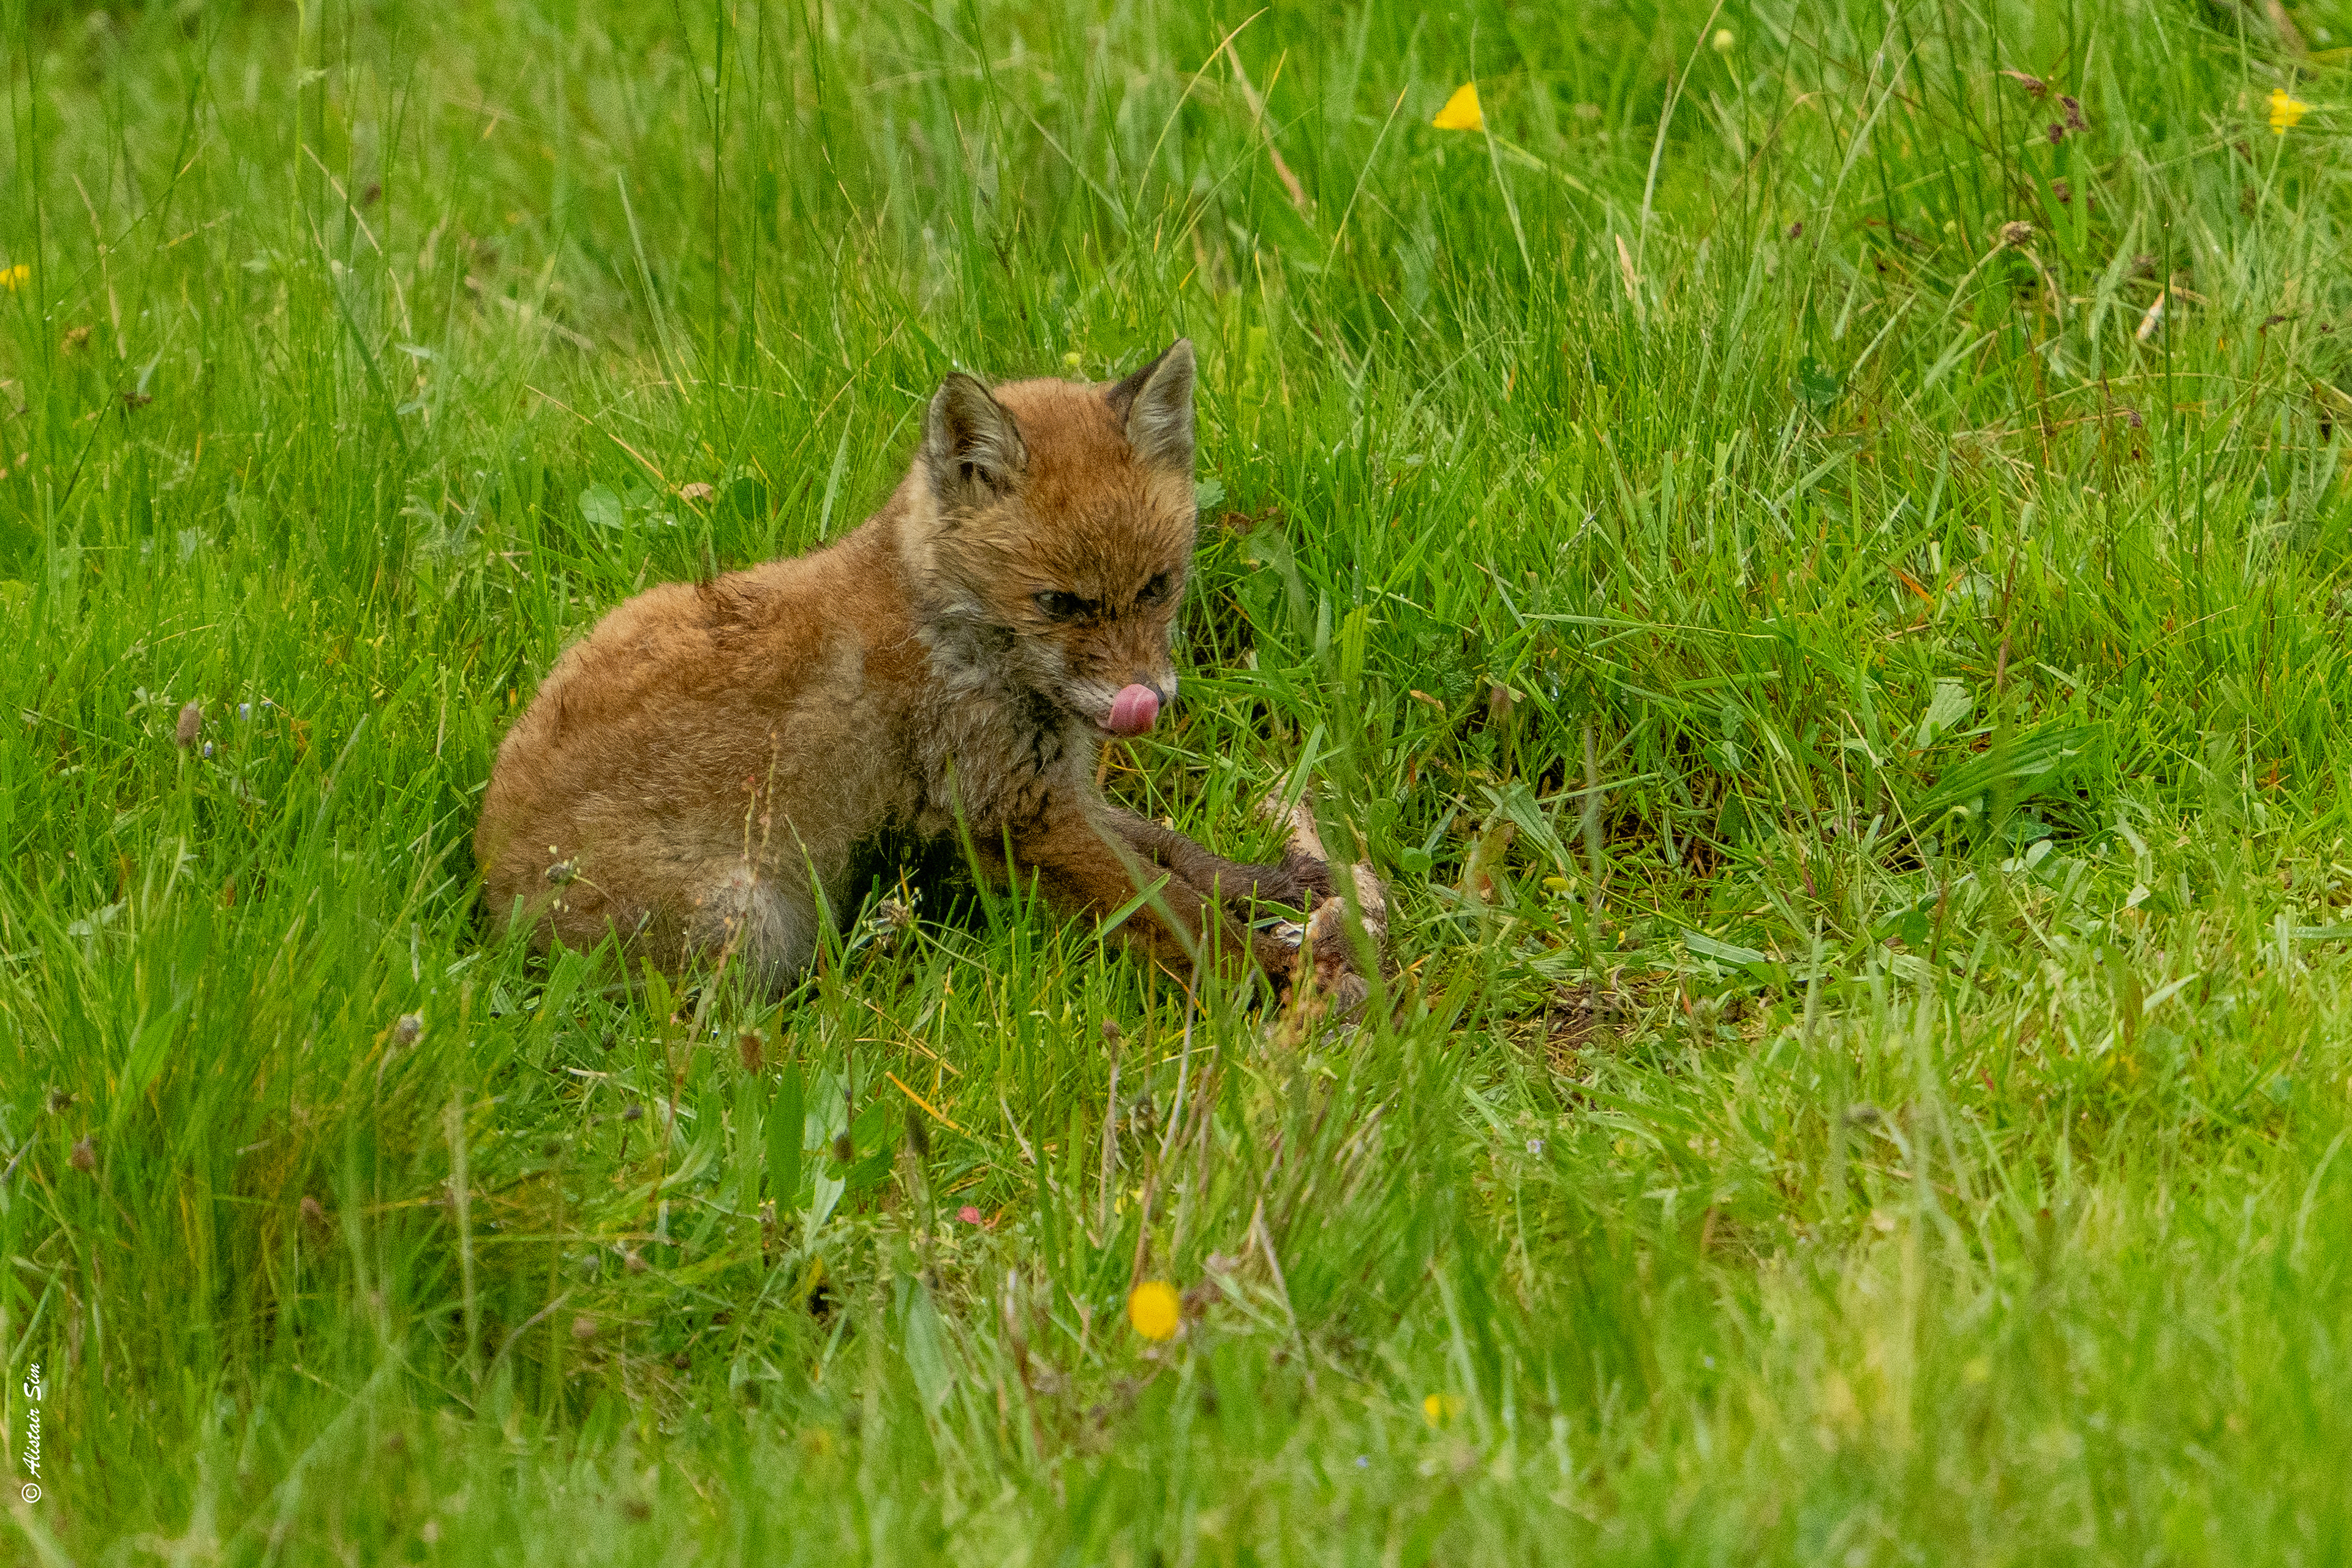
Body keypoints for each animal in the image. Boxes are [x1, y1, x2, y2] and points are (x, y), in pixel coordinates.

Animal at [475, 340, 1344, 994]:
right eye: (1059, 603)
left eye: (1158, 587)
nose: (1149, 700)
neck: (949, 627)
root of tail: (490, 892)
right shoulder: (1011, 813)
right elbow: (1172, 905)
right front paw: (1278, 974)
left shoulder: (1053, 791)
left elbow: (1179, 853)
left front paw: (1272, 885)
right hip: (749, 920)